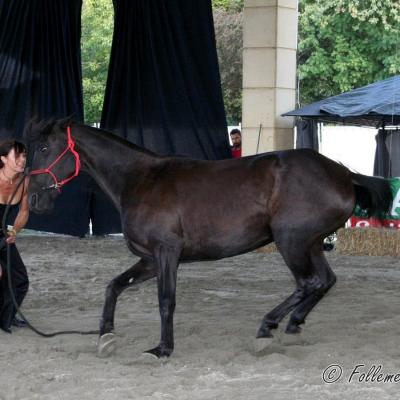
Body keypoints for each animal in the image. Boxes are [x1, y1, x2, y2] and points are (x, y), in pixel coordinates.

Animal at [24, 118, 390, 356]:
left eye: (44, 147)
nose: (34, 200)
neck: (140, 179)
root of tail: (343, 173)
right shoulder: (149, 259)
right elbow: (114, 286)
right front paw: (105, 336)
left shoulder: (166, 253)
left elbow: (166, 300)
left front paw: (163, 348)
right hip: (312, 244)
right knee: (325, 281)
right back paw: (293, 325)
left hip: (292, 242)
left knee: (308, 283)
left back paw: (266, 328)